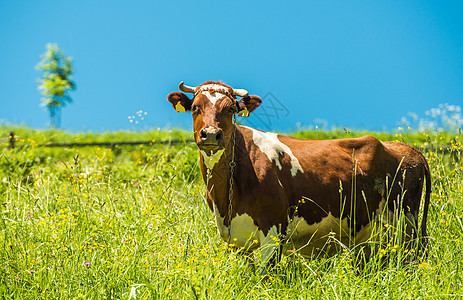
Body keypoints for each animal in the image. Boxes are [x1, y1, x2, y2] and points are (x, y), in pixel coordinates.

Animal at [167, 81, 432, 274]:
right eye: (195, 108)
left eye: (230, 109)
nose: (211, 134)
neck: (227, 196)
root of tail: (407, 148)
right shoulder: (233, 237)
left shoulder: (274, 229)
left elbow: (265, 277)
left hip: (405, 224)